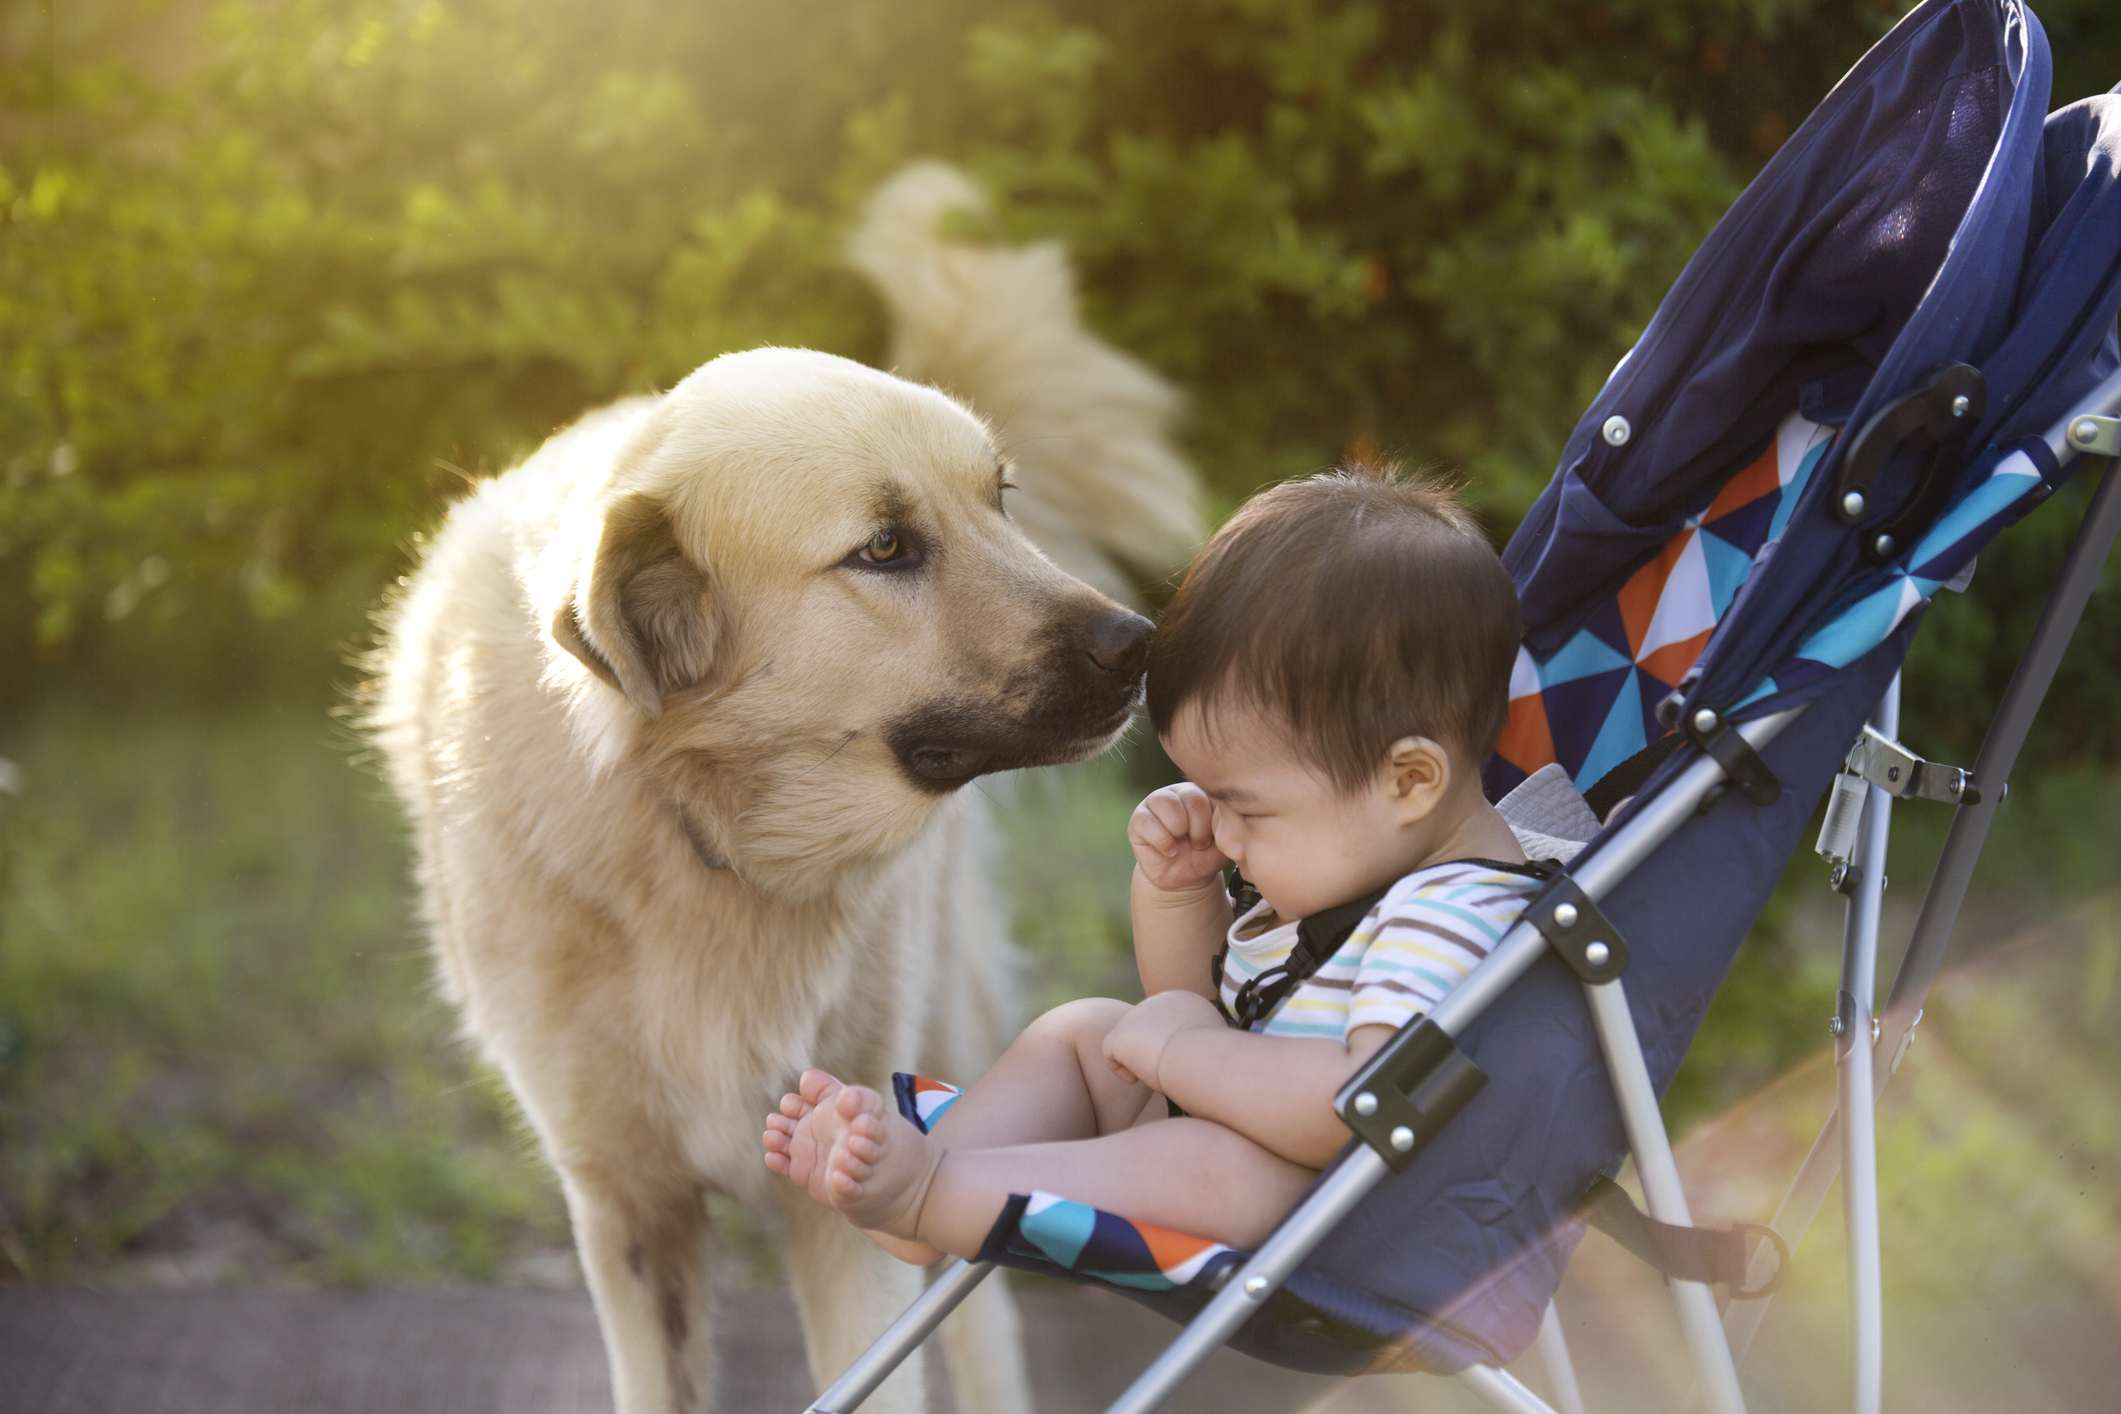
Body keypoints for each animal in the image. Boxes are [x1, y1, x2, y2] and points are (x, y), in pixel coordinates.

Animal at [371, 168, 1204, 1414]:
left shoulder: (855, 1178)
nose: (1142, 644)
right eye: (885, 548)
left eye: (998, 498)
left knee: (985, 1313)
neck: (703, 832)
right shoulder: (628, 1204)